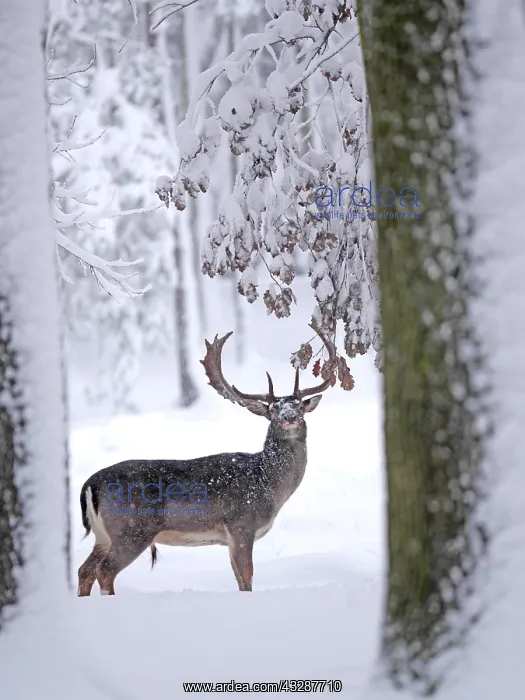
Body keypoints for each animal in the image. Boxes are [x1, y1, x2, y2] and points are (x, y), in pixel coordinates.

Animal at [77, 325, 335, 596]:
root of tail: (90, 484)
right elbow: (247, 580)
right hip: (131, 530)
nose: (289, 417)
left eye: (300, 406)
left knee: (84, 570)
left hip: (104, 535)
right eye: (273, 410)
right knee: (104, 571)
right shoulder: (241, 525)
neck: (268, 483)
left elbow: (240, 581)